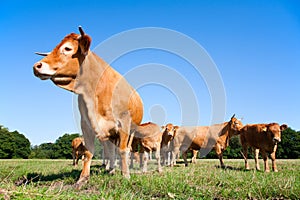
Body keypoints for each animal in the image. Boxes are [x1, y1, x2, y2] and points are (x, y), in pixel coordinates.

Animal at [33, 27, 144, 189]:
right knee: (110, 151)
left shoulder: (123, 123)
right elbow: (89, 152)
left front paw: (126, 176)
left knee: (125, 150)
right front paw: (82, 178)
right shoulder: (86, 124)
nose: (36, 66)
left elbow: (123, 151)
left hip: (131, 131)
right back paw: (111, 170)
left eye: (67, 48)